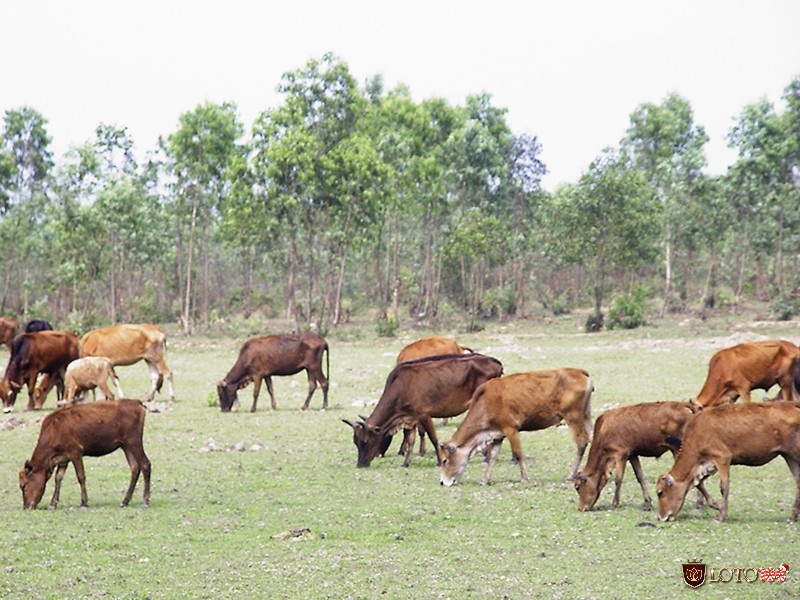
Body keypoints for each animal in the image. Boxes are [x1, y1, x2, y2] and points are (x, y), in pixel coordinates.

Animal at [19, 398, 152, 510]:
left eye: (23, 485)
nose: (26, 507)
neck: (54, 430)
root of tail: (137, 403)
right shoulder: (63, 459)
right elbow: (58, 478)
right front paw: (52, 504)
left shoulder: (75, 452)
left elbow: (81, 476)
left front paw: (84, 503)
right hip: (125, 446)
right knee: (134, 467)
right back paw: (124, 501)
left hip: (133, 441)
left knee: (145, 464)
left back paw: (145, 502)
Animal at [342, 352, 500, 468]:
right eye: (355, 442)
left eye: (365, 441)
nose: (360, 464)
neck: (400, 387)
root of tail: (496, 362)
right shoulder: (410, 418)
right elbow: (411, 439)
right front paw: (406, 463)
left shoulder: (424, 415)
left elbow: (433, 438)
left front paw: (439, 461)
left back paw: (487, 458)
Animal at [438, 368, 592, 486]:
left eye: (445, 460)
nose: (442, 482)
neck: (485, 402)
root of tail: (580, 372)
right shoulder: (498, 435)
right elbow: (492, 457)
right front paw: (484, 480)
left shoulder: (511, 429)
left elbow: (518, 453)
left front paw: (524, 478)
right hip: (585, 416)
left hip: (573, 417)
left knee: (582, 442)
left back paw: (570, 475)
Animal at [572, 404, 716, 510]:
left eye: (578, 487)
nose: (581, 508)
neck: (604, 430)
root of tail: (683, 405)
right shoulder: (633, 455)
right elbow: (640, 476)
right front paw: (647, 503)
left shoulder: (621, 454)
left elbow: (618, 479)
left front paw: (614, 503)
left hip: (678, 449)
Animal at [656, 400, 800, 524]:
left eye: (660, 492)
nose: (660, 517)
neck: (698, 432)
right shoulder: (707, 465)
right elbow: (700, 484)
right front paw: (717, 506)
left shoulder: (722, 458)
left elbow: (724, 486)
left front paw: (721, 517)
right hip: (789, 456)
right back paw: (792, 517)